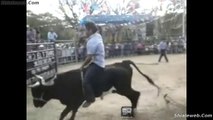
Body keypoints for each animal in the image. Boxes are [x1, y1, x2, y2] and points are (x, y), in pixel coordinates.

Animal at [27, 60, 160, 120]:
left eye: (37, 91)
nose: (35, 104)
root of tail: (123, 63)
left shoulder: (74, 102)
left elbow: (65, 114)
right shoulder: (74, 104)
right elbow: (68, 115)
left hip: (123, 88)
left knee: (135, 95)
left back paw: (134, 112)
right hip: (122, 89)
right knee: (134, 95)